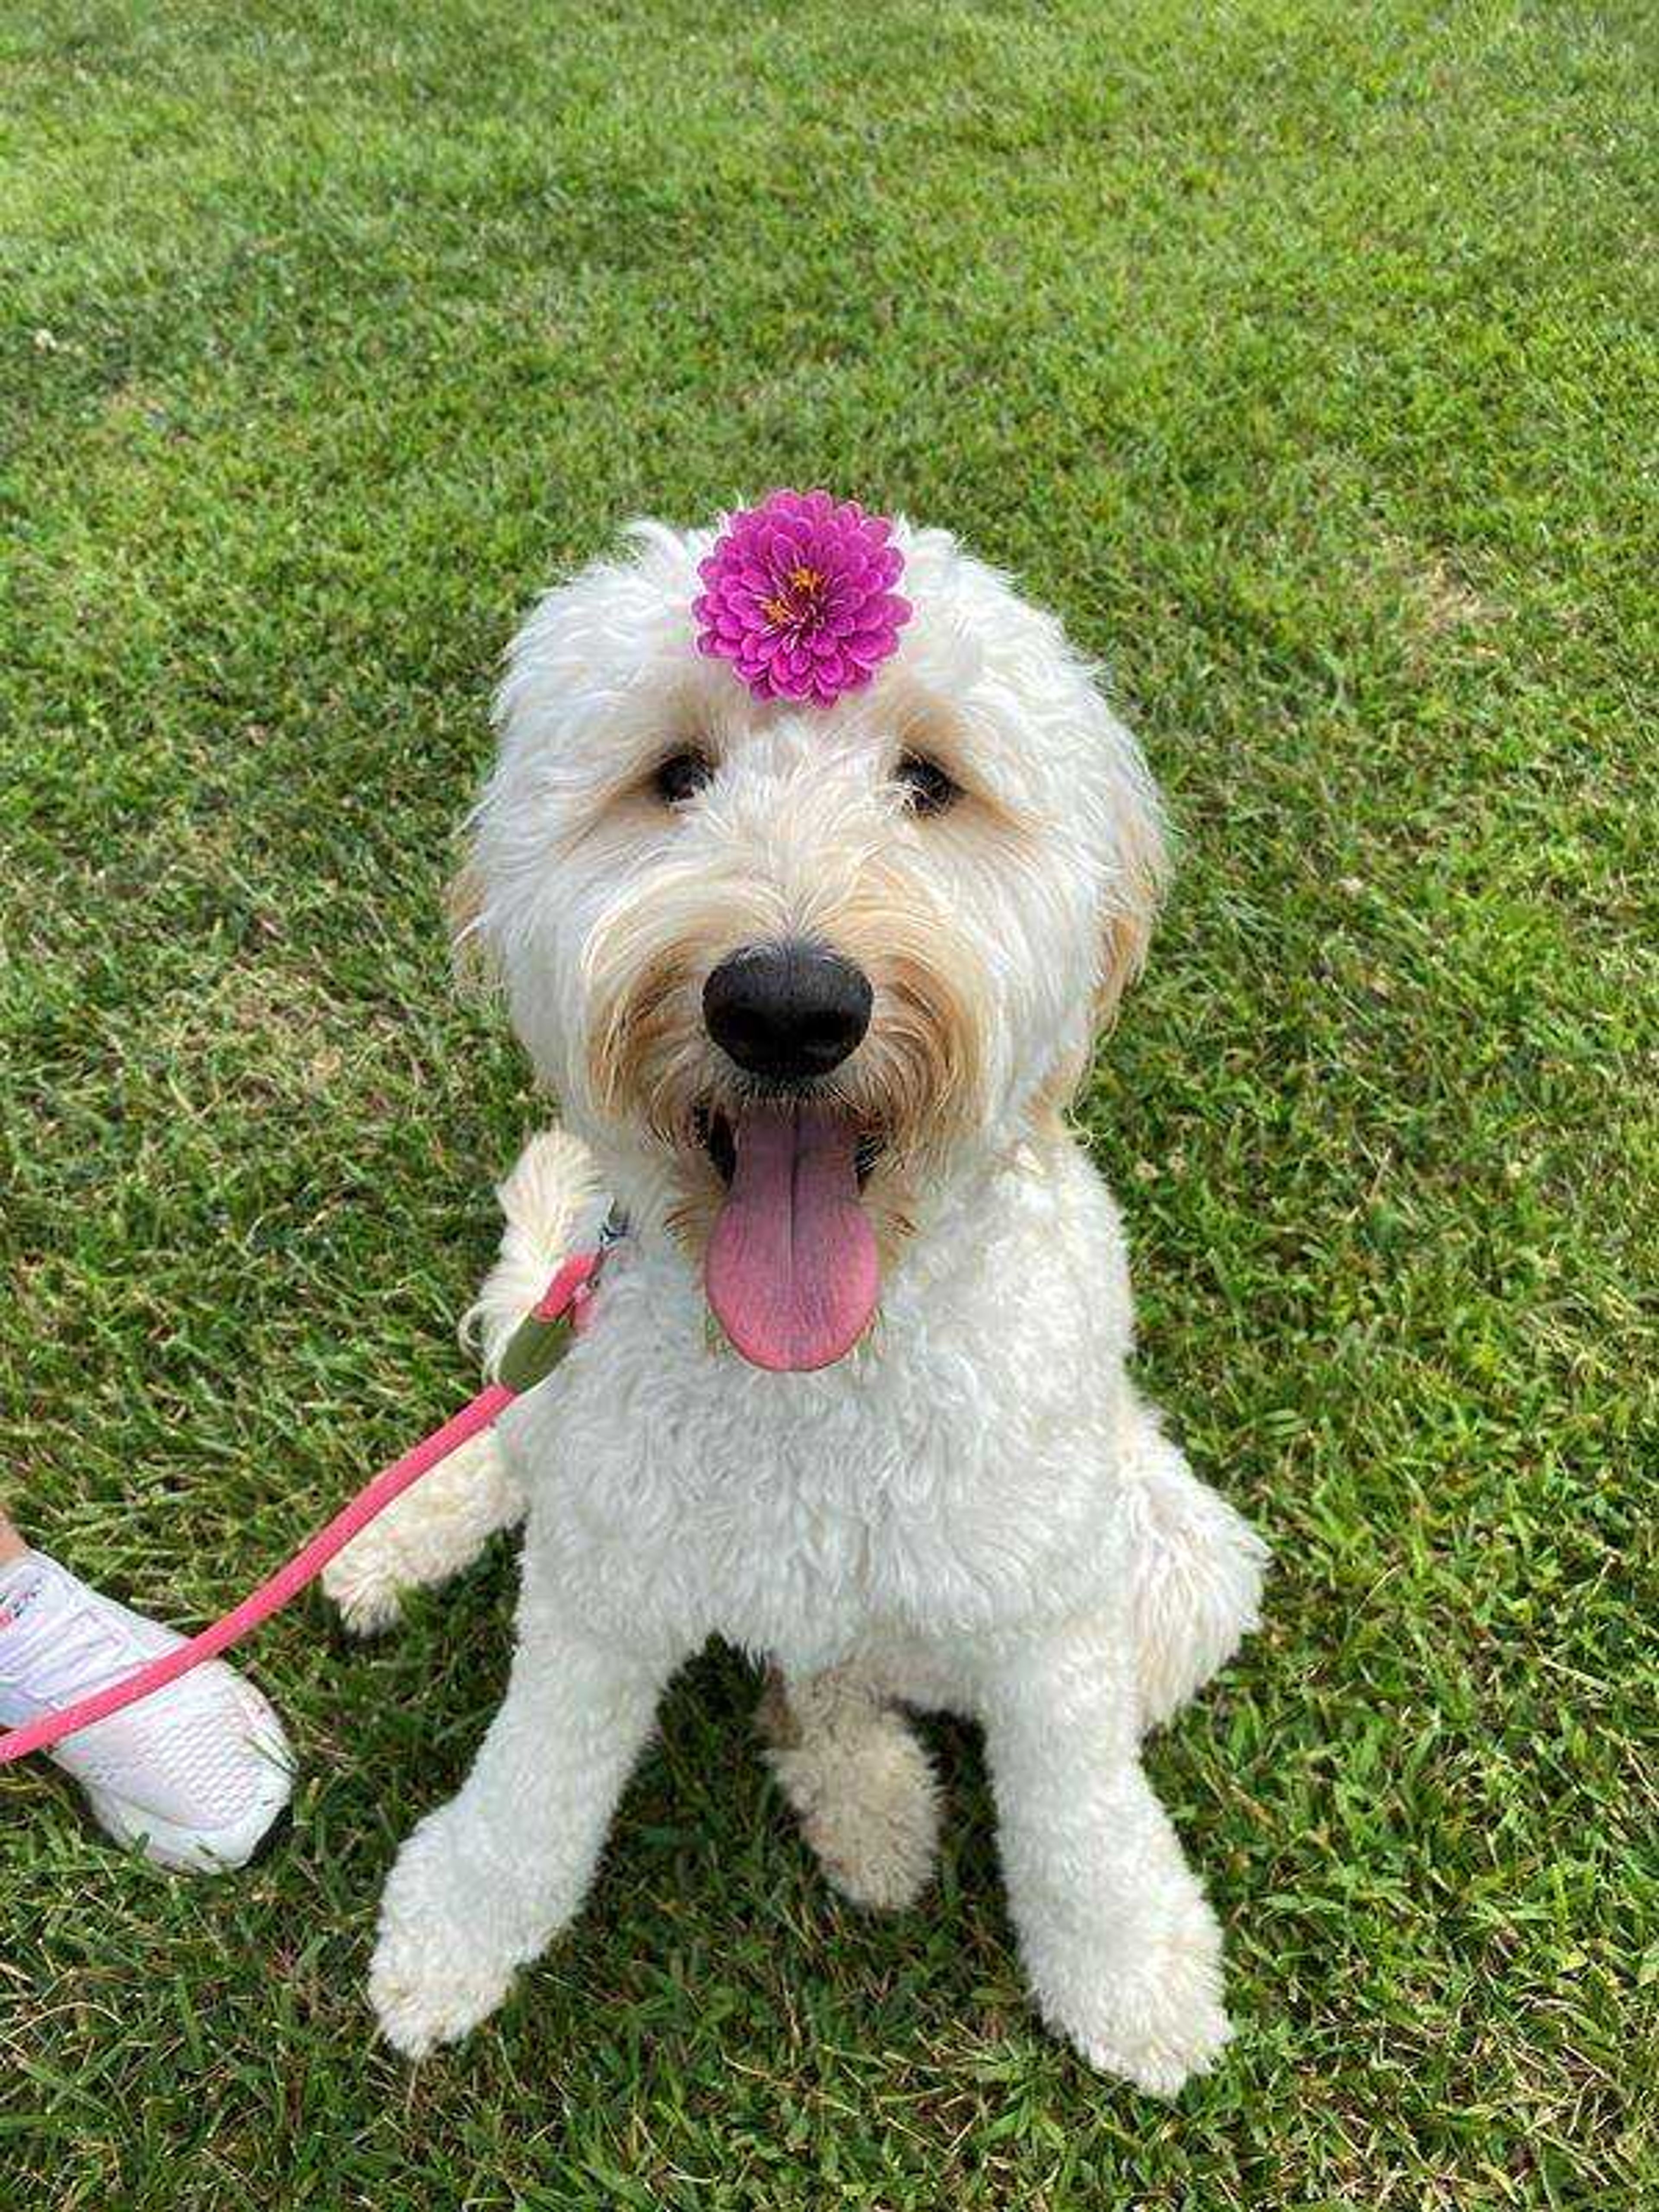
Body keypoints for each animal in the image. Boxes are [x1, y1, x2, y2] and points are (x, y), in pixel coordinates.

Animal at [338, 509, 1274, 2097]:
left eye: (931, 782)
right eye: (676, 775)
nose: (785, 1005)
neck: (813, 1374)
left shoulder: (1056, 1610)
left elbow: (1083, 1813)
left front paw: (1131, 1973)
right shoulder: (599, 1585)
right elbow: (535, 1778)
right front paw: (458, 1929)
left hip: (1180, 1567)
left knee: (829, 1677)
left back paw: (868, 1804)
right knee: (504, 1439)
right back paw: (387, 1542)